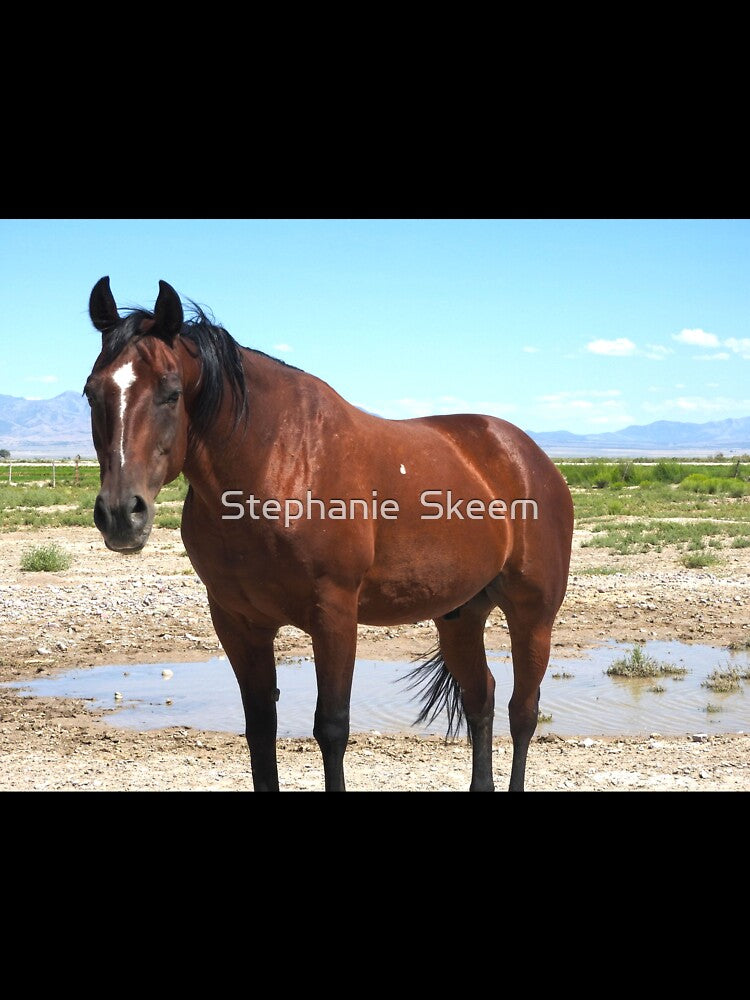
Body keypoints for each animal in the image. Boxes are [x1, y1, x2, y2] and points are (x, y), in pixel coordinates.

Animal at [85, 276, 574, 792]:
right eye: (91, 393)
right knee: (481, 699)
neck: (276, 462)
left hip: (533, 616)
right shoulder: (238, 623)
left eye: (172, 392)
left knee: (523, 713)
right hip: (460, 615)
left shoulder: (335, 615)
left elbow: (332, 728)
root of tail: (529, 456)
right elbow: (260, 728)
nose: (121, 513)